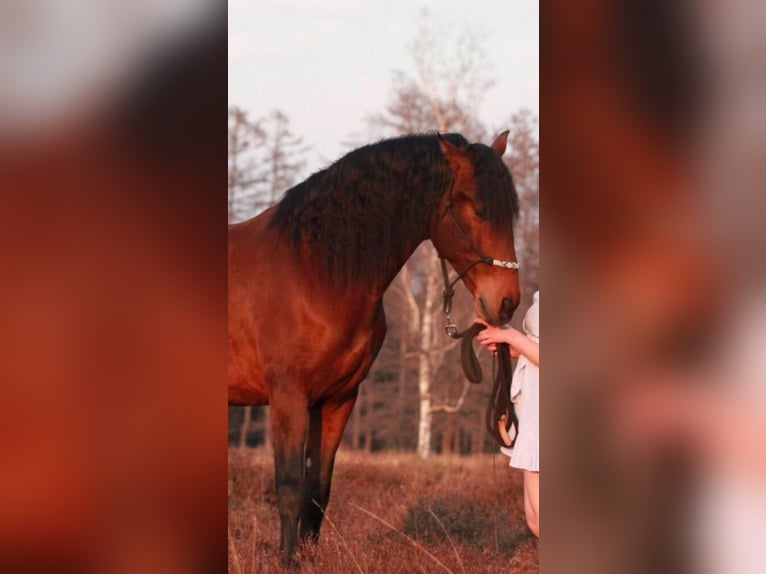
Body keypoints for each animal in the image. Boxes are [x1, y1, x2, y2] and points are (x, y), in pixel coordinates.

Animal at [228, 133, 520, 560]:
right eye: (480, 210)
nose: (507, 303)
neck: (315, 271)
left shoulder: (338, 399)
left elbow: (317, 492)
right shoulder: (288, 396)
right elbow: (289, 488)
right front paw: (287, 562)